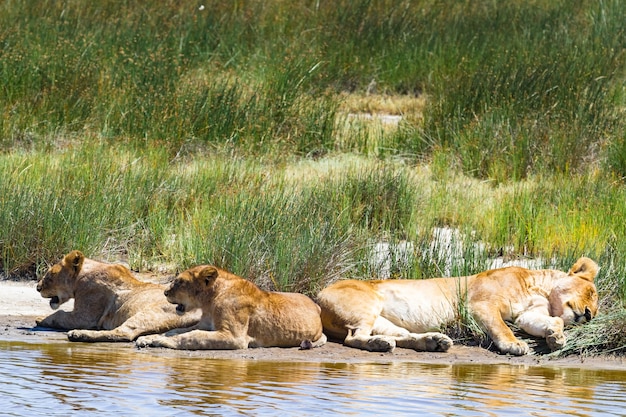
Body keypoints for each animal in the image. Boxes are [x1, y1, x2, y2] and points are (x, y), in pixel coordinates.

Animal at [36, 250, 197, 342]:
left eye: (49, 275)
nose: (38, 288)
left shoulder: (84, 317)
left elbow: (59, 314)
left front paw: (40, 319)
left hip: (149, 313)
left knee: (124, 333)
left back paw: (79, 334)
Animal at [134, 264, 324, 350]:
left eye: (180, 282)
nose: (165, 292)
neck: (209, 301)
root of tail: (317, 307)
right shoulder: (205, 324)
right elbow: (177, 331)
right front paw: (148, 338)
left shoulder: (234, 337)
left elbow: (192, 336)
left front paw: (160, 341)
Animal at [320, 256, 596, 354]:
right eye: (591, 292)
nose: (590, 315)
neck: (540, 290)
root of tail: (320, 294)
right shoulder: (479, 304)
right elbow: (500, 326)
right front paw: (514, 345)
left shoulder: (526, 315)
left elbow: (553, 320)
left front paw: (556, 337)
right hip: (367, 305)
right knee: (353, 338)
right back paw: (379, 345)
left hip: (384, 320)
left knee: (401, 336)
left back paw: (433, 342)